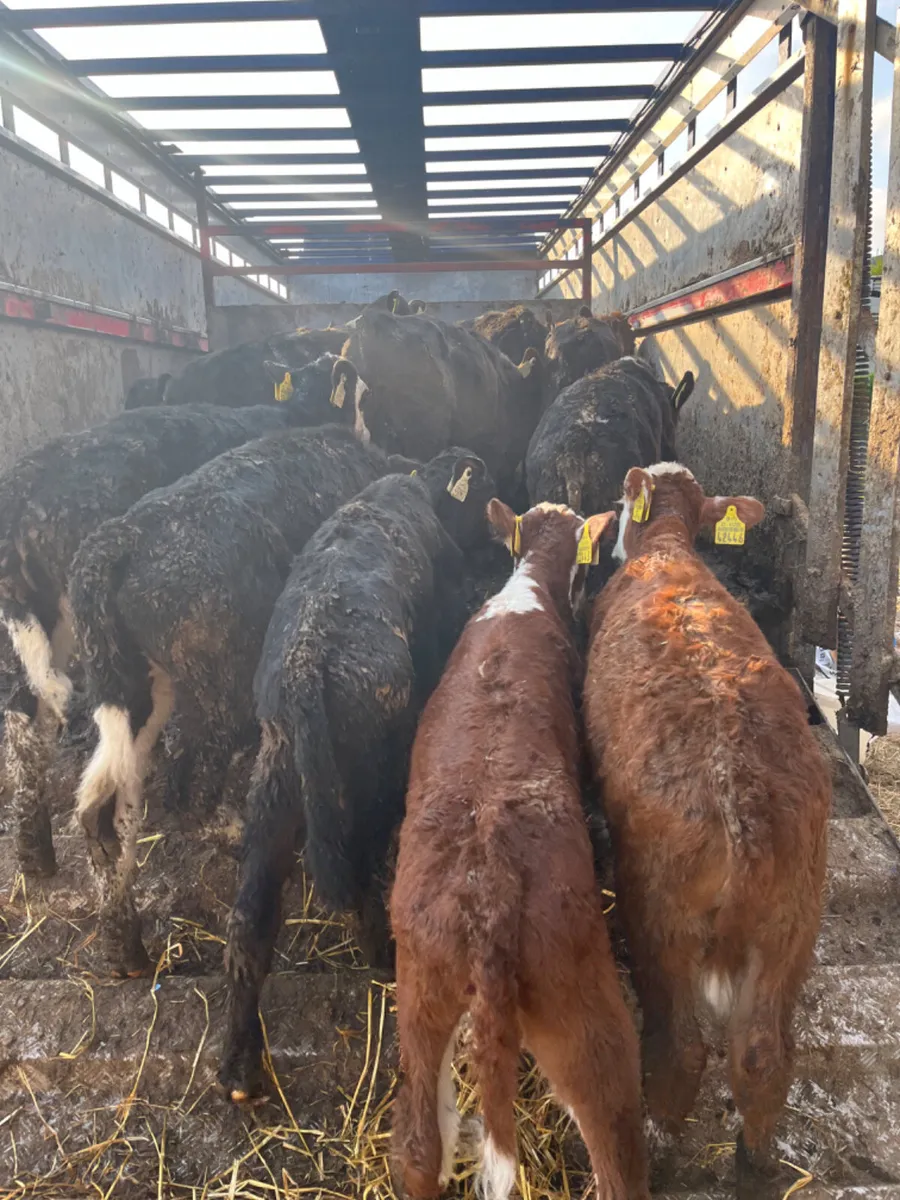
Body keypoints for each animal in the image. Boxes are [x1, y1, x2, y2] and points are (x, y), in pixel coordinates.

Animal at [220, 451, 493, 1102]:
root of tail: (301, 678)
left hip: (274, 794)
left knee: (248, 924)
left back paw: (238, 1067)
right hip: (371, 781)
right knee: (367, 876)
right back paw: (383, 956)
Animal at [390, 501, 649, 1200]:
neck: (524, 592)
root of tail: (489, 900)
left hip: (420, 992)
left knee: (421, 1143)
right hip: (585, 1013)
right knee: (614, 1139)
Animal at [584, 462, 830, 1199]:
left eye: (620, 507)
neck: (668, 548)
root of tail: (739, 796)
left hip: (659, 916)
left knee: (686, 1046)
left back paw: (661, 1146)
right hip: (792, 922)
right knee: (761, 1053)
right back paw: (756, 1160)